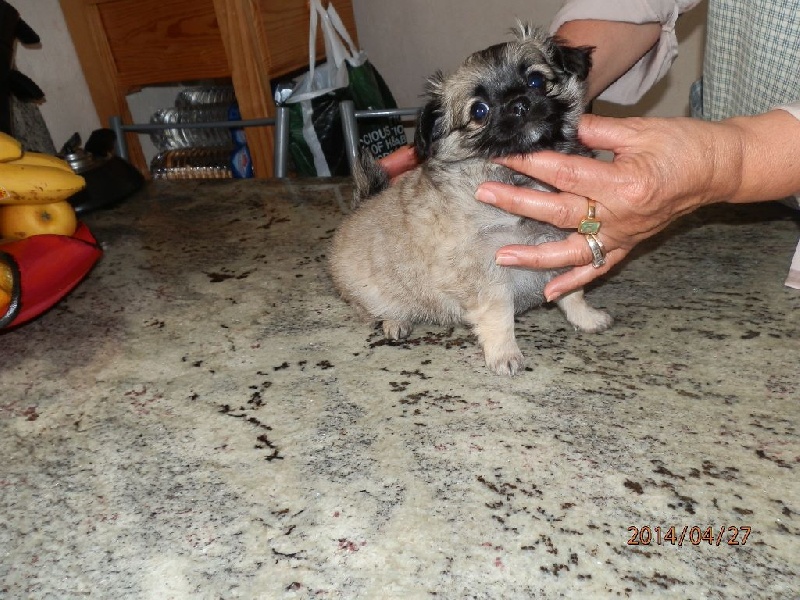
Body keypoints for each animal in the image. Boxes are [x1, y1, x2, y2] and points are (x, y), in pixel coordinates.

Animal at [329, 23, 612, 375]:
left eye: (535, 80)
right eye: (479, 111)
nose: (519, 104)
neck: (520, 178)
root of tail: (360, 206)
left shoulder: (562, 253)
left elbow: (572, 292)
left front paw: (586, 318)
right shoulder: (486, 274)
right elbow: (500, 313)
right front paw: (504, 353)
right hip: (372, 294)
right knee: (373, 310)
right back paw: (394, 322)